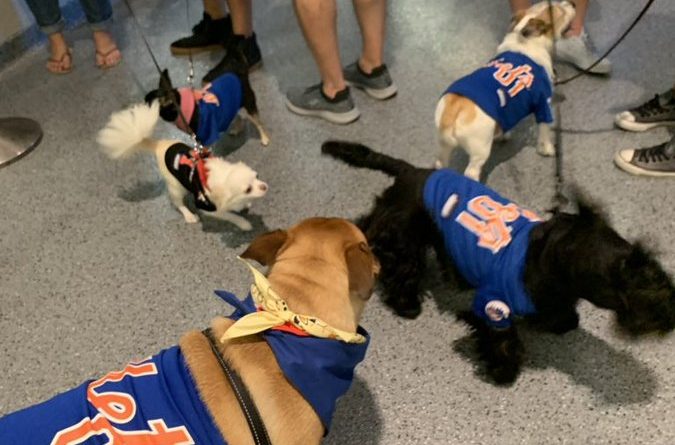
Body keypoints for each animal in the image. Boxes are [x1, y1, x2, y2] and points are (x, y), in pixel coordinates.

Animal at [99, 103, 268, 231]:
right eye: (248, 189)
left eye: (257, 176)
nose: (265, 187)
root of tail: (159, 145)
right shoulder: (207, 206)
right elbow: (229, 215)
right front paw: (244, 223)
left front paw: (245, 205)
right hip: (176, 186)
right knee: (178, 203)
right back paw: (189, 215)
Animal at [324, 140, 675, 384]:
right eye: (627, 281)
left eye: (654, 267)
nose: (668, 313)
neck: (548, 256)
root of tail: (410, 171)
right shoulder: (493, 307)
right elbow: (502, 340)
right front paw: (503, 372)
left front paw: (562, 322)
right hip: (403, 235)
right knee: (397, 263)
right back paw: (405, 301)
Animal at [438, 1, 576, 180]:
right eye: (561, 12)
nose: (573, 3)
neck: (526, 40)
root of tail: (454, 109)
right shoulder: (543, 104)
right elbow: (544, 130)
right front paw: (547, 149)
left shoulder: (509, 110)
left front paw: (503, 135)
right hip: (479, 151)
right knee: (471, 171)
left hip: (443, 148)